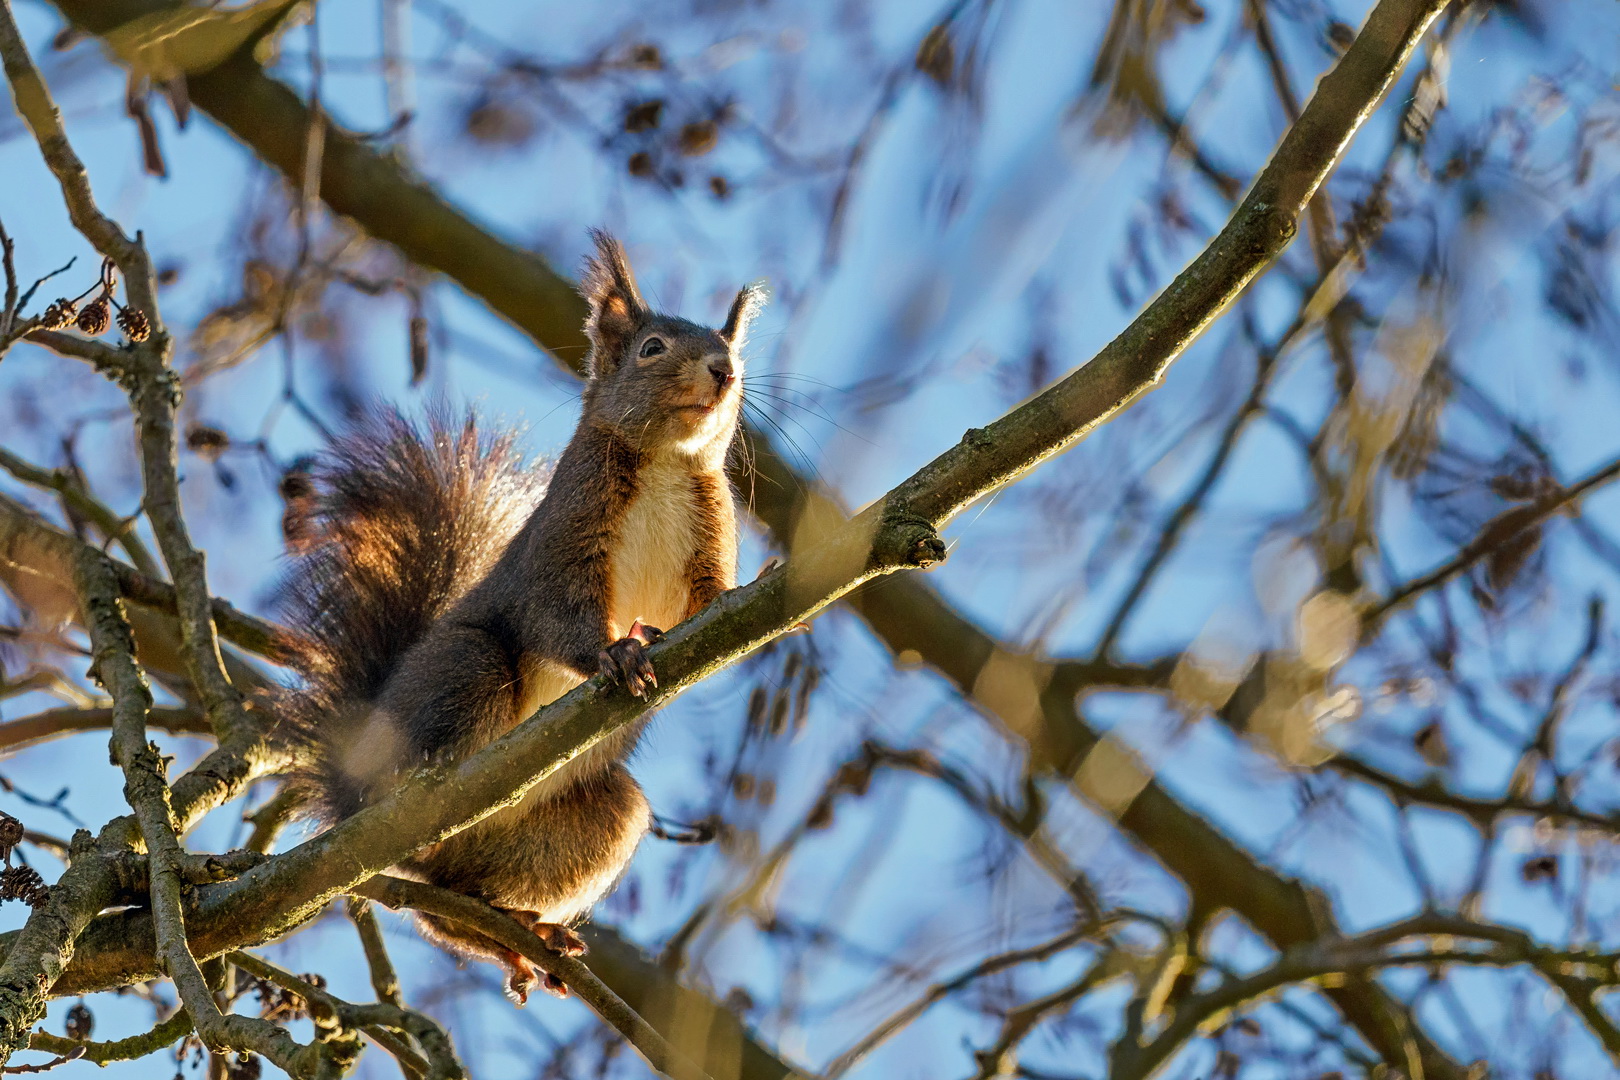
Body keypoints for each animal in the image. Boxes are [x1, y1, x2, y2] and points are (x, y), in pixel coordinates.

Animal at [278, 233, 764, 1010]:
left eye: (732, 351)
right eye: (651, 348)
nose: (724, 371)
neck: (664, 460)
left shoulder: (710, 525)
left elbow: (709, 598)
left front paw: (719, 611)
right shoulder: (562, 538)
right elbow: (552, 613)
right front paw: (613, 654)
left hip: (582, 826)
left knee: (447, 898)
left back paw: (517, 932)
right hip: (463, 671)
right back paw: (412, 788)